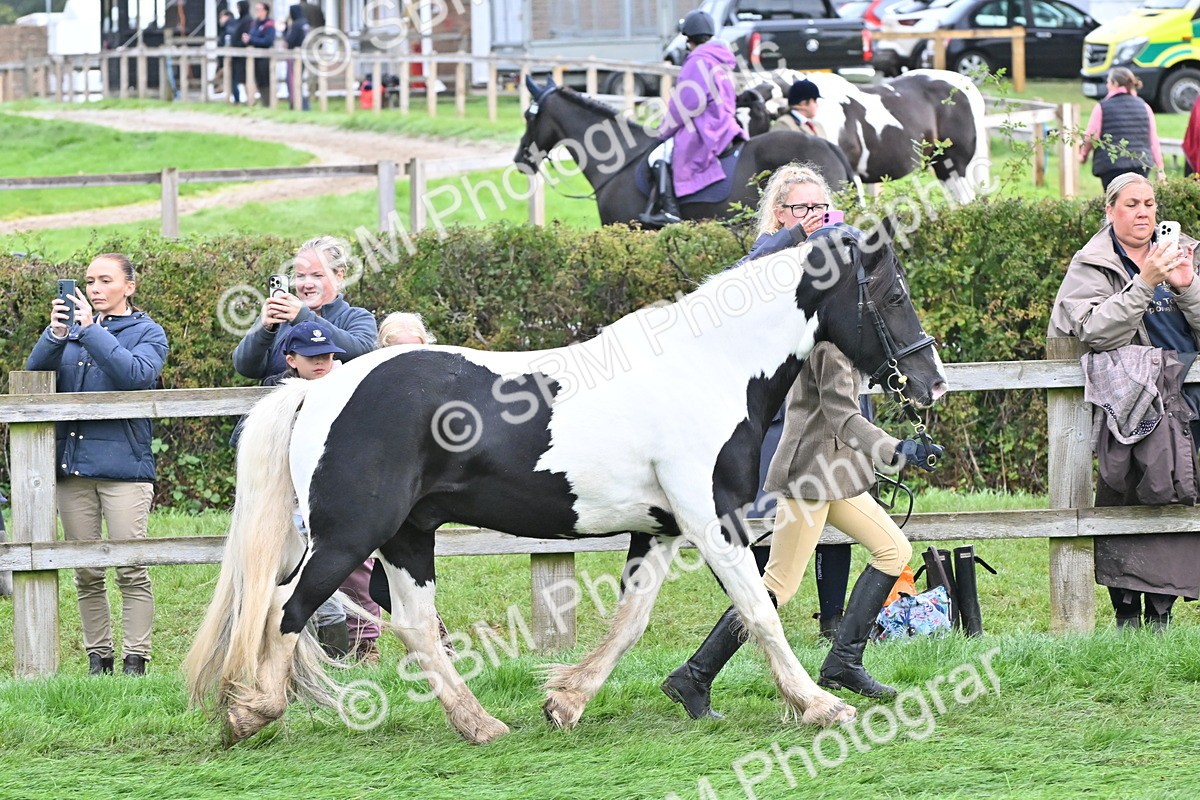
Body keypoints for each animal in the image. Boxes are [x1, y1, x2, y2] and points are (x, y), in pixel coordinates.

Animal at [184, 225, 948, 746]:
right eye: (895, 294)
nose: (931, 383)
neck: (709, 366)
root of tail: (319, 392)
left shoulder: (661, 528)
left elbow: (633, 619)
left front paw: (566, 701)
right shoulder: (712, 519)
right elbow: (758, 609)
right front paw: (821, 706)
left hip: (406, 537)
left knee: (413, 626)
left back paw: (481, 725)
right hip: (350, 536)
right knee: (285, 606)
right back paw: (252, 711)